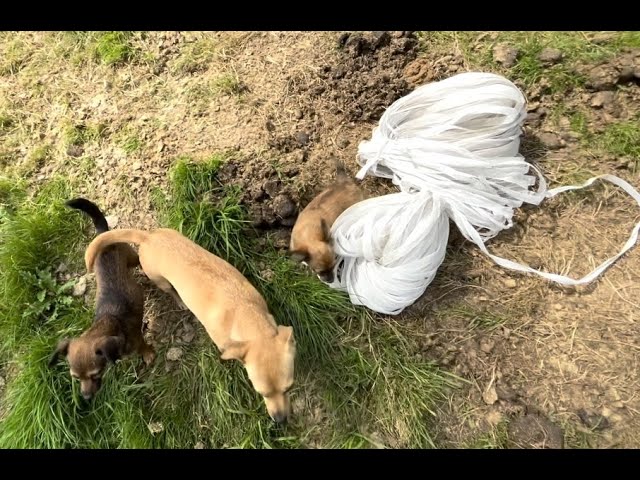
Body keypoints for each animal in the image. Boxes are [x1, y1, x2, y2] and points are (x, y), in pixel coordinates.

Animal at [49, 197, 156, 400]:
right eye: (76, 378)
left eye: (95, 374)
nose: (86, 397)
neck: (113, 324)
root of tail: (102, 233)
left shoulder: (138, 339)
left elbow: (144, 347)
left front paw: (148, 355)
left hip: (132, 257)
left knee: (138, 261)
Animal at [82, 227, 298, 422]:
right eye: (261, 393)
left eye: (289, 387)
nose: (280, 420)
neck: (245, 313)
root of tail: (149, 237)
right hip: (161, 281)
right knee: (171, 291)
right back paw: (180, 301)